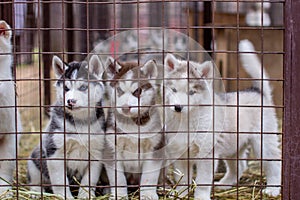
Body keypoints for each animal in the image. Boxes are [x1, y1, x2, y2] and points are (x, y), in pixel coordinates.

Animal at [27, 54, 106, 198]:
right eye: (66, 88)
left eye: (83, 87)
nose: (70, 101)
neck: (80, 122)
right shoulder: (54, 151)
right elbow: (60, 181)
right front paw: (65, 196)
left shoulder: (96, 152)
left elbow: (89, 180)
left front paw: (85, 195)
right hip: (33, 161)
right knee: (35, 179)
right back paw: (35, 191)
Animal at [103, 57, 164, 199]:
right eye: (119, 90)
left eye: (138, 91)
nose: (125, 107)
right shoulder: (111, 147)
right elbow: (118, 178)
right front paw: (119, 195)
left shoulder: (155, 147)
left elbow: (149, 176)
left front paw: (148, 194)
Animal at [162, 39, 282, 199]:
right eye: (173, 90)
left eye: (192, 92)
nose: (177, 107)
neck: (187, 120)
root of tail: (257, 91)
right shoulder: (179, 154)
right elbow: (181, 179)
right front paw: (180, 194)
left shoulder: (207, 154)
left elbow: (202, 181)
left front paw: (201, 197)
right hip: (233, 146)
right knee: (239, 166)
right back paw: (225, 184)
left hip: (263, 143)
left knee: (274, 163)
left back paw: (273, 189)